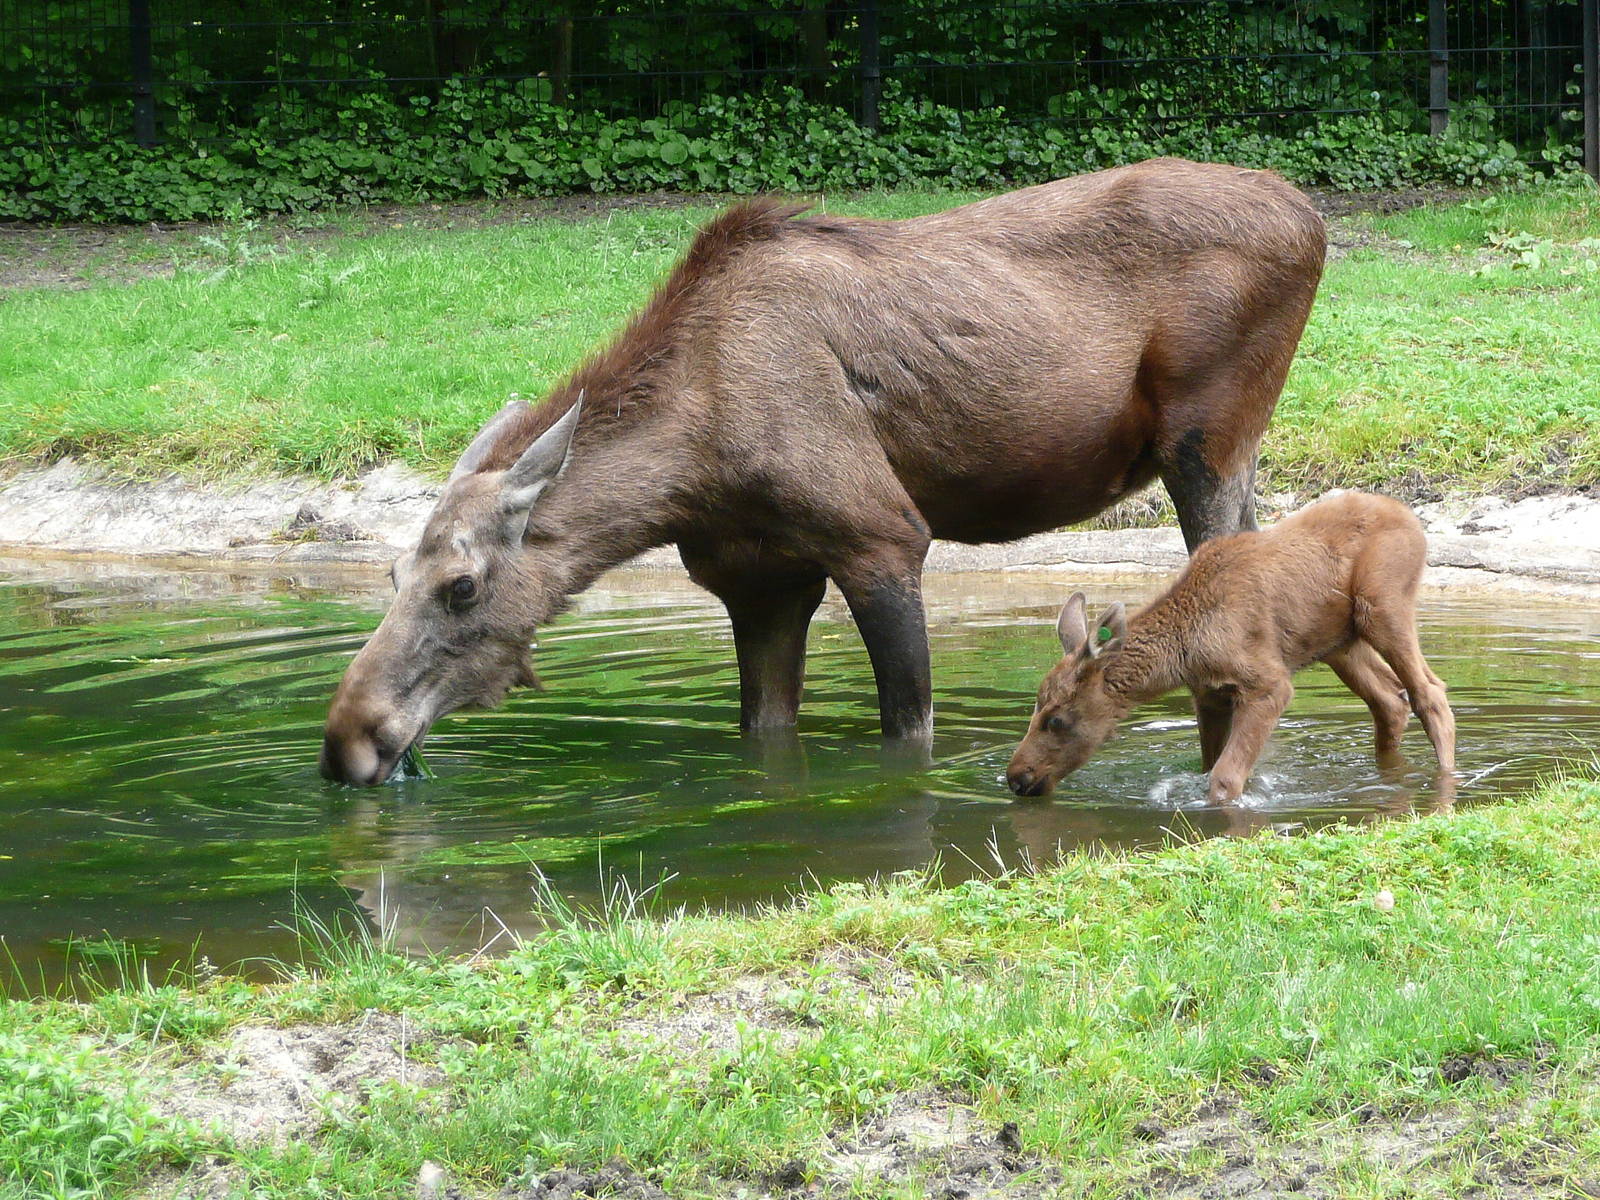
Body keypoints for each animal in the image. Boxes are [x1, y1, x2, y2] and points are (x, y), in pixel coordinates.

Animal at [1006, 491, 1456, 805]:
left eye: (1056, 719)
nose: (1017, 777)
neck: (1183, 653)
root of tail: (1413, 520)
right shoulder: (1209, 696)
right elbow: (1208, 766)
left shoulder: (1268, 685)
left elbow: (1224, 779)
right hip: (1339, 643)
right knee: (1389, 699)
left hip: (1381, 605)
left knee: (1429, 693)